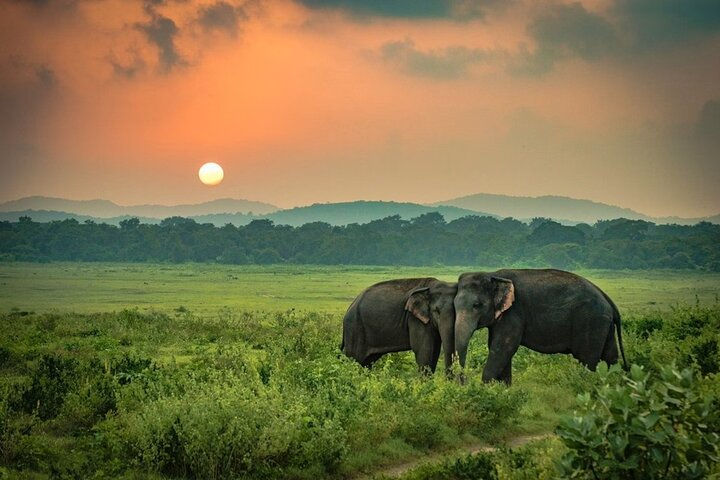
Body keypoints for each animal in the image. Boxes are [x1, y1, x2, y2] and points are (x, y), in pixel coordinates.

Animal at [454, 269, 627, 384]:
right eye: (454, 305)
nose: (464, 382)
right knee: (610, 356)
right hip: (604, 324)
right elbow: (499, 348)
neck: (492, 274)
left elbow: (502, 348)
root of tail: (607, 299)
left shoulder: (514, 313)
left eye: (477, 305)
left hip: (591, 322)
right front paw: (503, 390)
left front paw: (485, 389)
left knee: (587, 359)